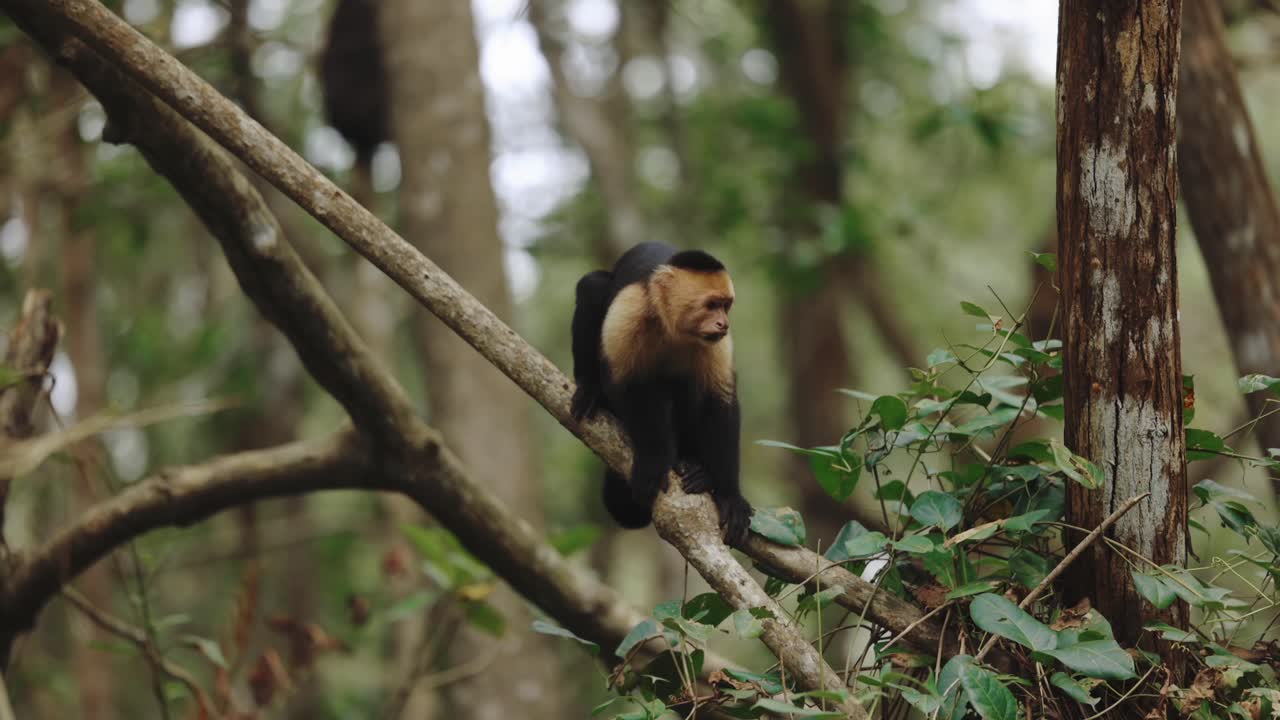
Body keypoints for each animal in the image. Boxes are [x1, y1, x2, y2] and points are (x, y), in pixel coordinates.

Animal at [571, 242, 754, 546]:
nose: (723, 324)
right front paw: (654, 465)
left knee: (687, 385)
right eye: (711, 305)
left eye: (726, 306)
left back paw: (695, 467)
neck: (673, 327)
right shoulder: (629, 310)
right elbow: (630, 386)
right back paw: (590, 389)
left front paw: (728, 494)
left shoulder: (717, 344)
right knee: (592, 286)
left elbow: (719, 400)